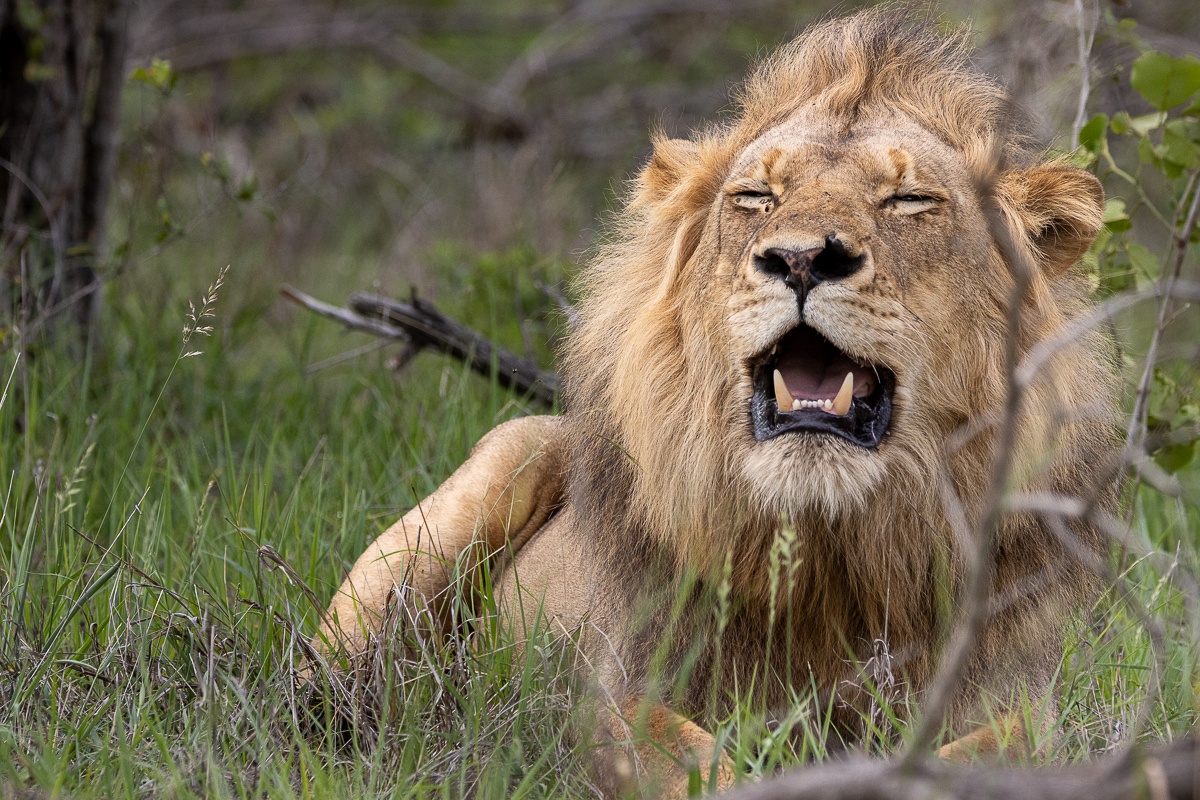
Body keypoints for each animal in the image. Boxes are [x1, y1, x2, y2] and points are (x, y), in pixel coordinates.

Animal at [313, 9, 1119, 797]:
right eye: (756, 198)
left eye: (909, 200)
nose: (801, 259)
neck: (829, 558)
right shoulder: (606, 692)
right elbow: (683, 758)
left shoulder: (1020, 698)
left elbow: (1009, 751)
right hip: (502, 462)